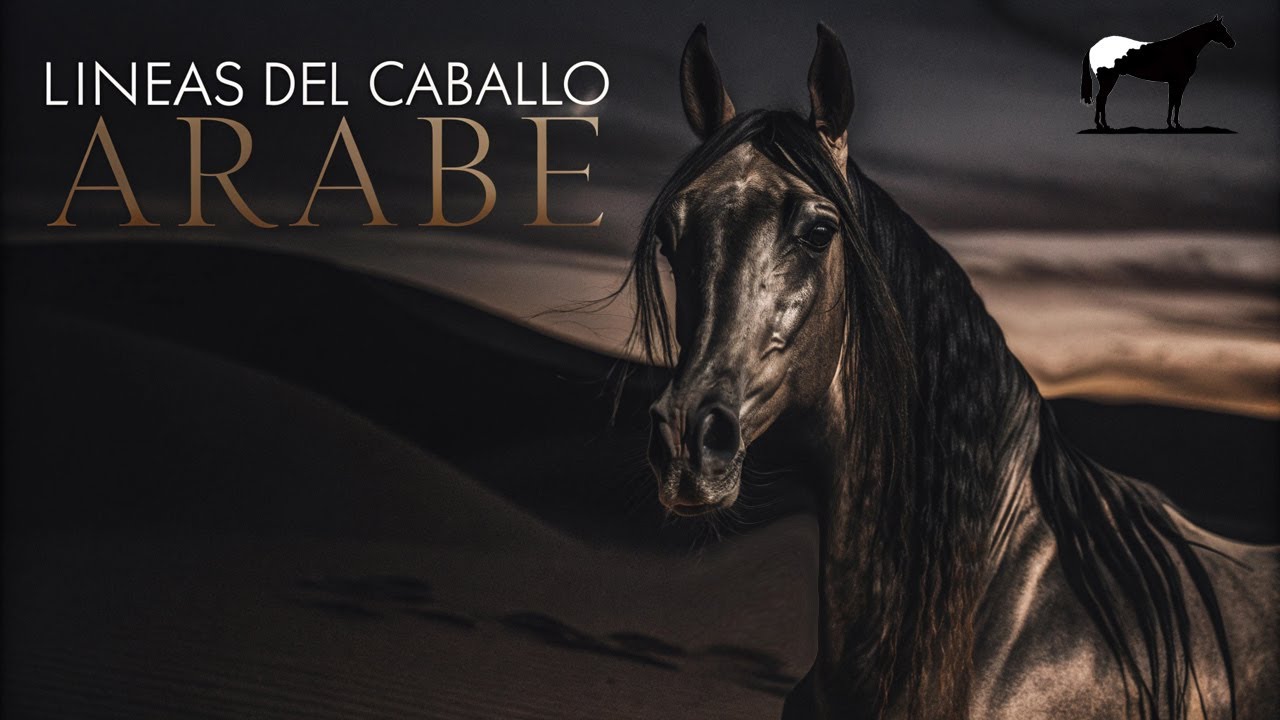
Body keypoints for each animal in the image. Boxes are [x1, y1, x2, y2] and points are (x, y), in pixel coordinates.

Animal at [1080, 16, 1234, 130]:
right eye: (1221, 29)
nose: (1232, 43)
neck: (1184, 48)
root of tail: (1094, 47)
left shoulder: (1174, 82)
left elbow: (1173, 101)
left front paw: (1171, 124)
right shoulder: (1180, 81)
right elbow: (1176, 101)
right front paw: (1175, 124)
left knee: (1102, 99)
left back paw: (1103, 124)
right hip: (1109, 79)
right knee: (1101, 98)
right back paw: (1101, 125)